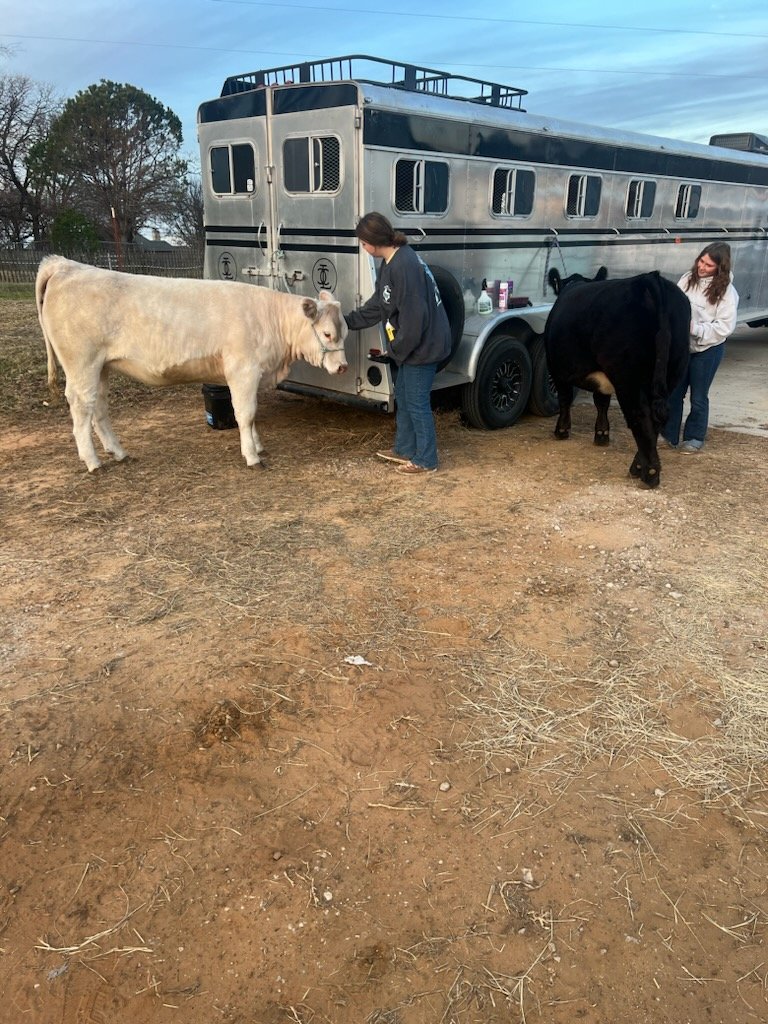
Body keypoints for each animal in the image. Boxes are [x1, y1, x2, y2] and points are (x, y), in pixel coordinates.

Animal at [36, 257, 348, 471]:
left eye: (344, 330)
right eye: (327, 334)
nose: (342, 367)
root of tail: (64, 265)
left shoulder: (254, 374)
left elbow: (251, 415)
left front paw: (258, 446)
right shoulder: (243, 371)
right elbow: (246, 414)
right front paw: (252, 456)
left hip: (101, 367)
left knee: (98, 408)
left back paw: (119, 452)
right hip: (82, 364)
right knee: (80, 407)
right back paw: (93, 462)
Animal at [544, 269, 690, 488]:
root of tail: (651, 279)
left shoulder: (557, 369)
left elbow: (565, 399)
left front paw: (561, 430)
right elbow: (601, 402)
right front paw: (602, 434)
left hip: (628, 379)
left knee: (640, 417)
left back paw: (648, 473)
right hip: (672, 373)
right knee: (655, 421)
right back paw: (640, 466)